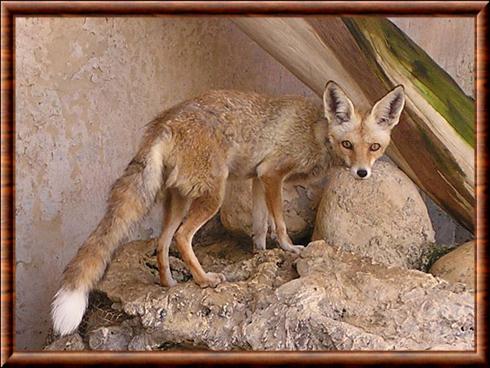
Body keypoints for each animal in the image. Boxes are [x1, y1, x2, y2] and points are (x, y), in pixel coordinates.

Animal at [50, 81, 406, 336]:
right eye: (348, 145)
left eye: (374, 147)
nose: (362, 173)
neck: (316, 131)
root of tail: (167, 120)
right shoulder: (273, 174)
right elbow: (279, 222)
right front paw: (289, 248)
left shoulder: (258, 178)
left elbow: (260, 224)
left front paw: (261, 253)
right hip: (212, 196)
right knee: (181, 238)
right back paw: (204, 280)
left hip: (178, 200)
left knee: (163, 242)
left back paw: (169, 285)